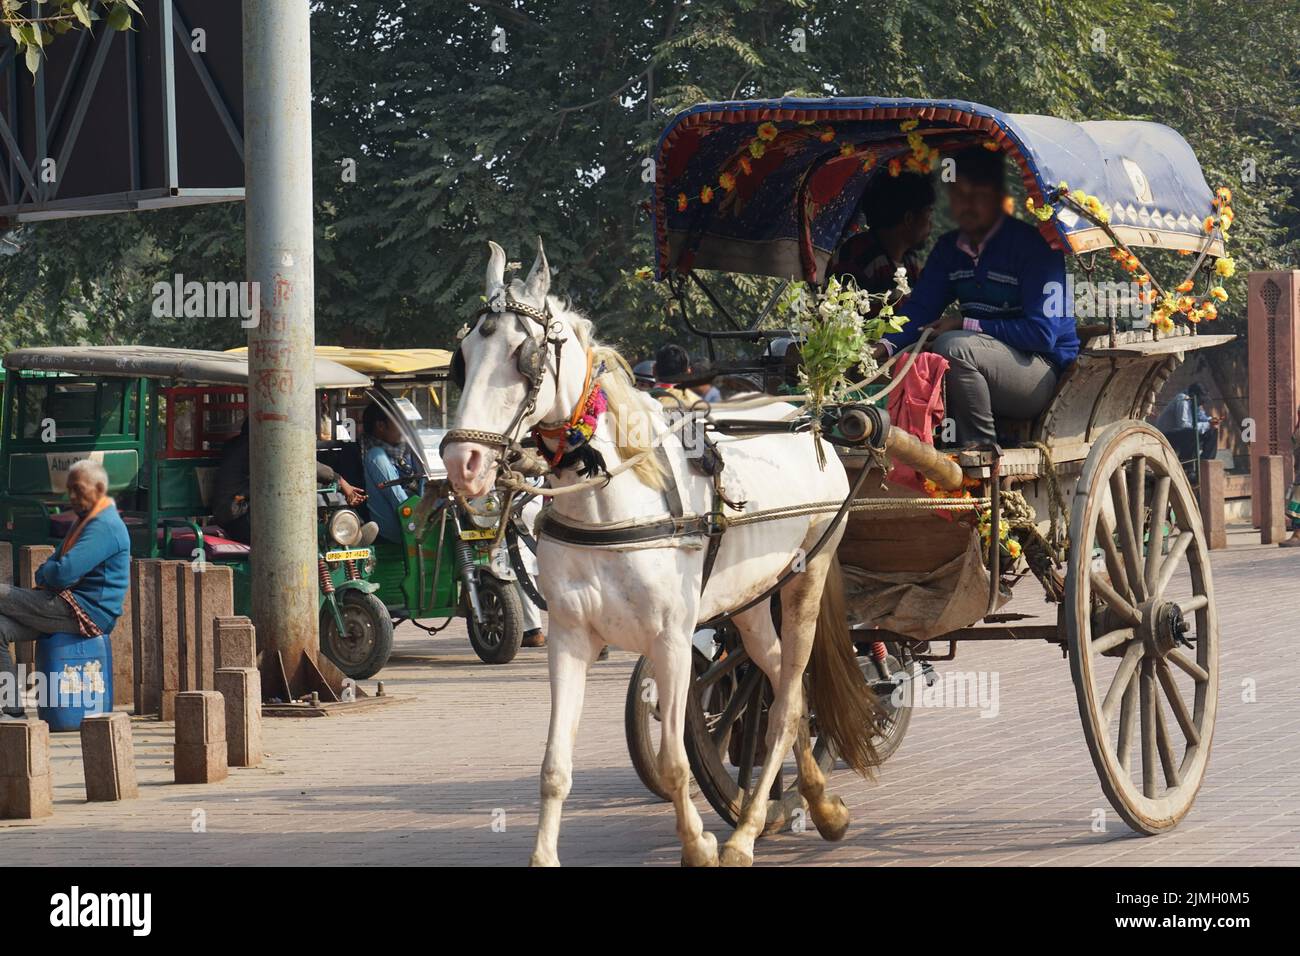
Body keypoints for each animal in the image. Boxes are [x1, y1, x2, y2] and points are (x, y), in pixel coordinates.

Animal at [441, 239, 878, 868]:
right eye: (463, 357)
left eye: (525, 356)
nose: (463, 465)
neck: (612, 502)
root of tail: (807, 420)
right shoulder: (570, 637)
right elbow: (554, 766)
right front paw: (544, 855)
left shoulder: (672, 640)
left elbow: (673, 761)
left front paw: (699, 845)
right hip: (750, 601)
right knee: (778, 687)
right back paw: (820, 805)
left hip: (807, 576)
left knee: (788, 699)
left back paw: (744, 833)